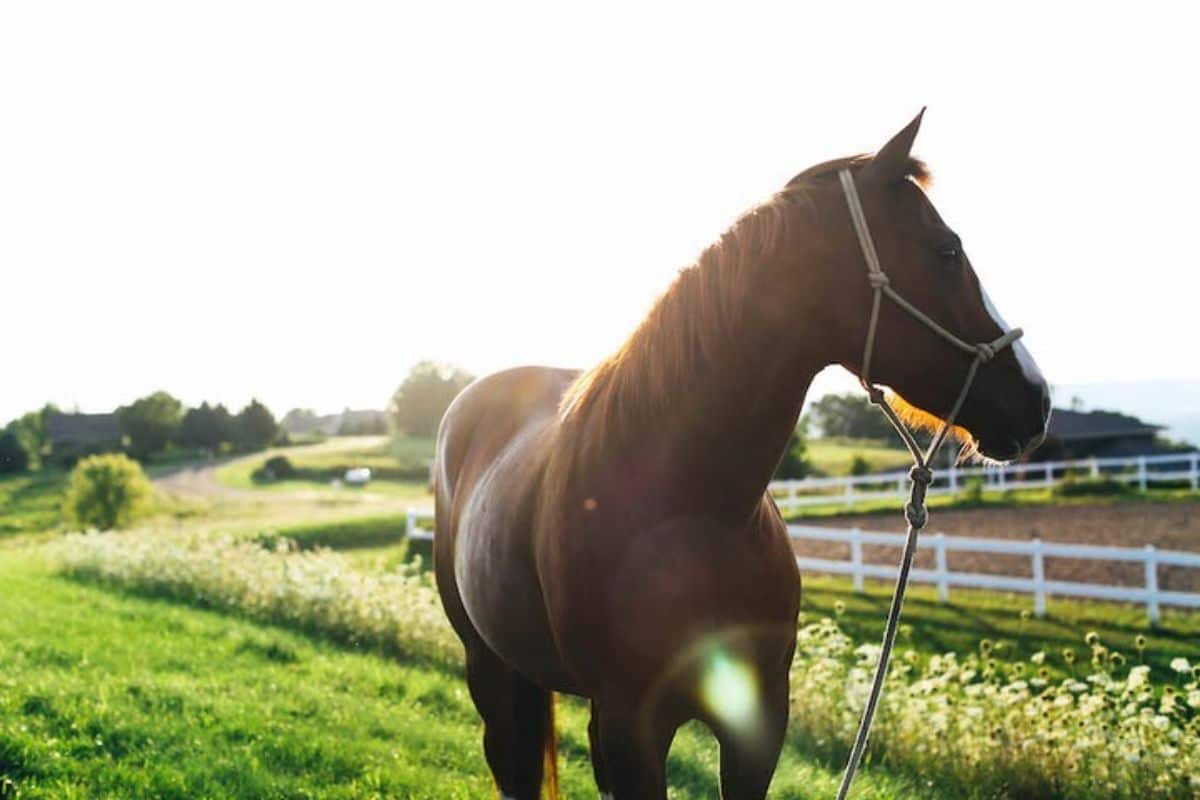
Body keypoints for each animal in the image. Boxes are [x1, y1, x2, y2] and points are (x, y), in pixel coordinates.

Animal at [434, 113, 1051, 800]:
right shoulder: (629, 726)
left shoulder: (759, 721)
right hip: (488, 668)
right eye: (946, 249)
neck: (695, 517)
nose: (1037, 400)